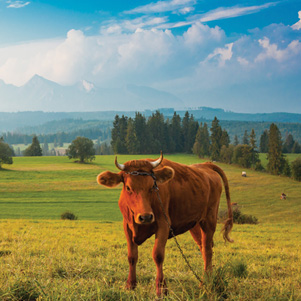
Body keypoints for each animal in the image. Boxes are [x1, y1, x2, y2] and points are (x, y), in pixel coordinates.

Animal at [96, 152, 232, 296]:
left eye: (152, 187)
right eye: (128, 188)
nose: (145, 217)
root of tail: (205, 165)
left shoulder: (164, 225)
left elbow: (158, 255)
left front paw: (161, 289)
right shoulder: (127, 226)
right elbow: (132, 256)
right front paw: (130, 285)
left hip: (209, 219)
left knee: (207, 250)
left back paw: (205, 282)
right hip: (195, 224)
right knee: (203, 247)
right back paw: (206, 281)